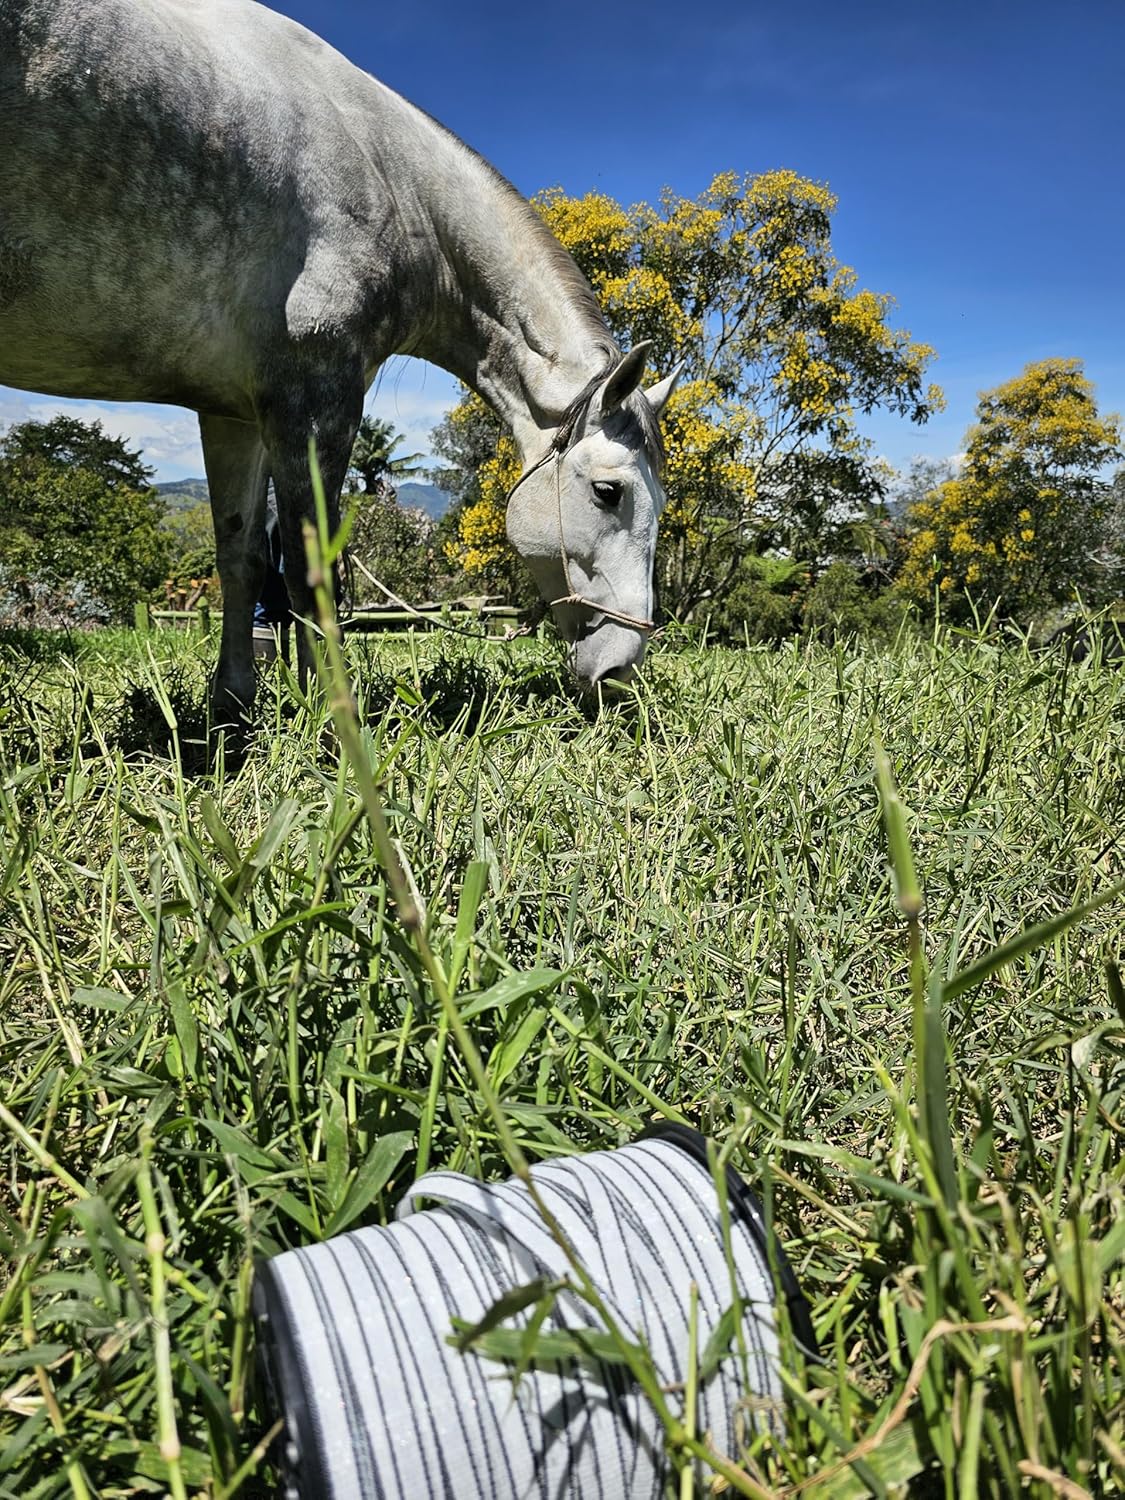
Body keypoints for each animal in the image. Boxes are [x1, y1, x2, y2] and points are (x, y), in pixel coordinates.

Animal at [0, 0, 681, 722]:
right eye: (608, 492)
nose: (621, 670)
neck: (389, 174)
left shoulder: (234, 414)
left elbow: (242, 558)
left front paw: (234, 708)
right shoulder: (314, 394)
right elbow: (310, 570)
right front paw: (332, 720)